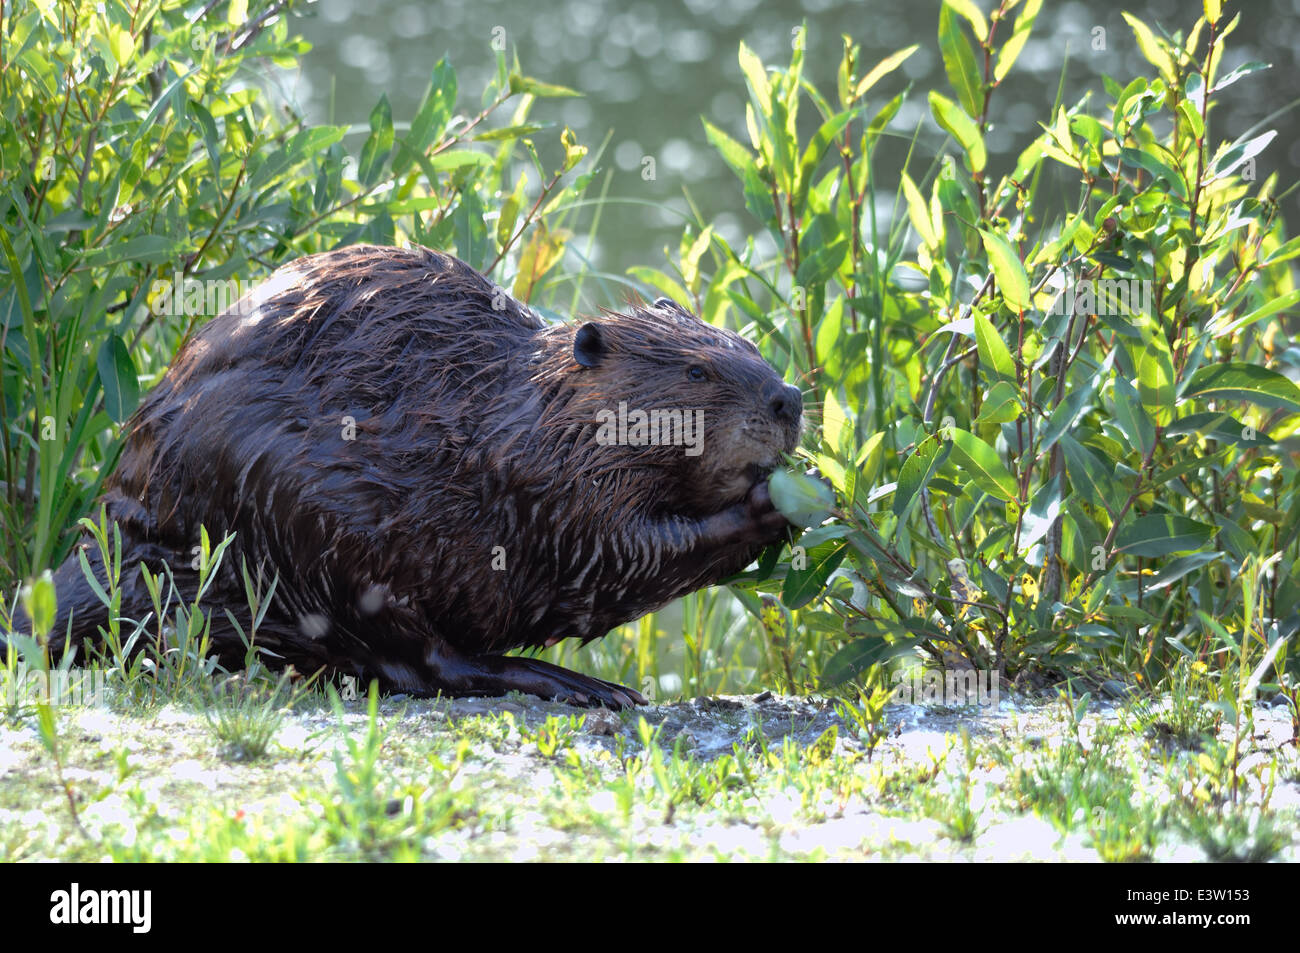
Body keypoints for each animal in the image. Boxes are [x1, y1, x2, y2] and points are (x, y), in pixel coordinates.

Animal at [10, 245, 800, 707]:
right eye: (695, 372)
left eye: (752, 348)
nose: (788, 399)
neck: (519, 405)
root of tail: (122, 529)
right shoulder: (538, 479)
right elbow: (611, 553)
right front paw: (770, 508)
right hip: (310, 515)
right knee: (420, 663)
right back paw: (583, 685)